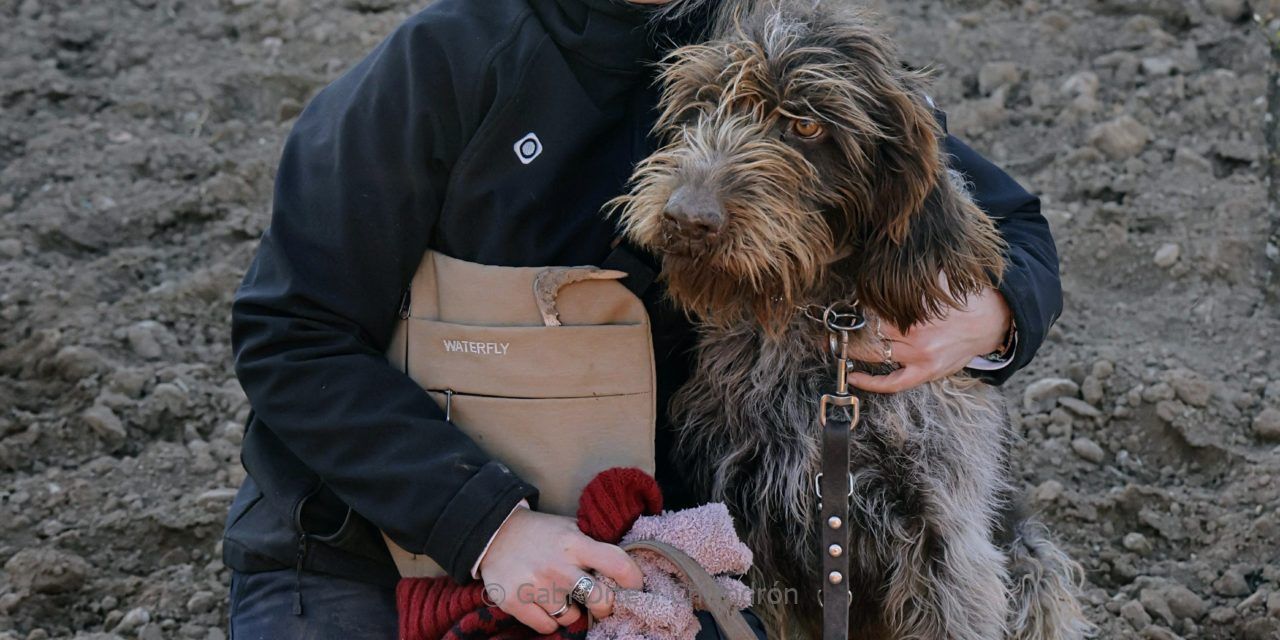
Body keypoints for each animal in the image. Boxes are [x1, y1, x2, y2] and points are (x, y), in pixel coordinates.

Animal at [609, 5, 1090, 640]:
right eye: (702, 104)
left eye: (808, 126)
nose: (686, 219)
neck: (823, 325)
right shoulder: (750, 532)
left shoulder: (942, 545)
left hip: (1034, 567)